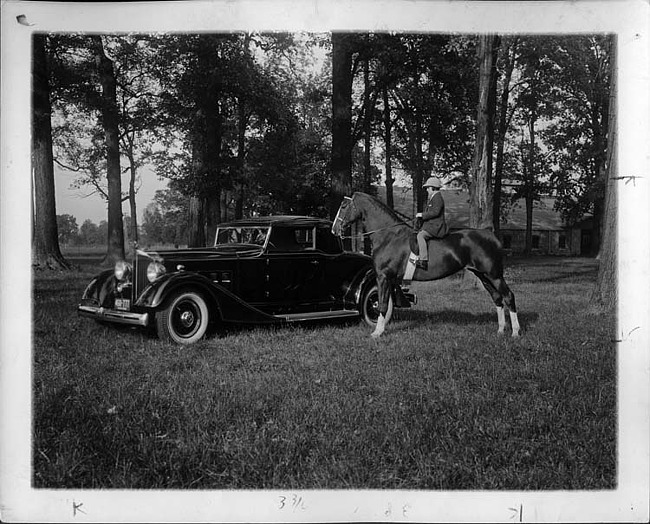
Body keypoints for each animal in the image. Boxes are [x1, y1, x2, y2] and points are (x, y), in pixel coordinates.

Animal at [332, 193, 520, 340]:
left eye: (343, 206)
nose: (334, 229)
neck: (388, 236)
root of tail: (491, 235)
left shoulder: (383, 277)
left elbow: (382, 304)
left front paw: (377, 332)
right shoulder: (389, 278)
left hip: (494, 275)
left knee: (508, 296)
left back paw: (515, 332)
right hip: (483, 276)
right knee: (497, 298)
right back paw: (500, 330)